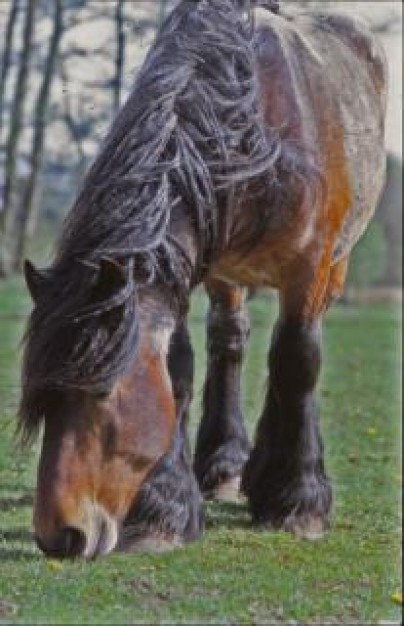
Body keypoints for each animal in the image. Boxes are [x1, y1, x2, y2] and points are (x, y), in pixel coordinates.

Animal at [18, 0, 386, 556]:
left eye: (102, 393)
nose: (59, 536)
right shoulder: (191, 269)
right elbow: (180, 369)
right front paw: (163, 511)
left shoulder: (309, 269)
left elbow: (298, 362)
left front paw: (299, 503)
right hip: (226, 277)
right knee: (229, 341)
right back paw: (228, 467)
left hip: (332, 268)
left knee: (289, 353)